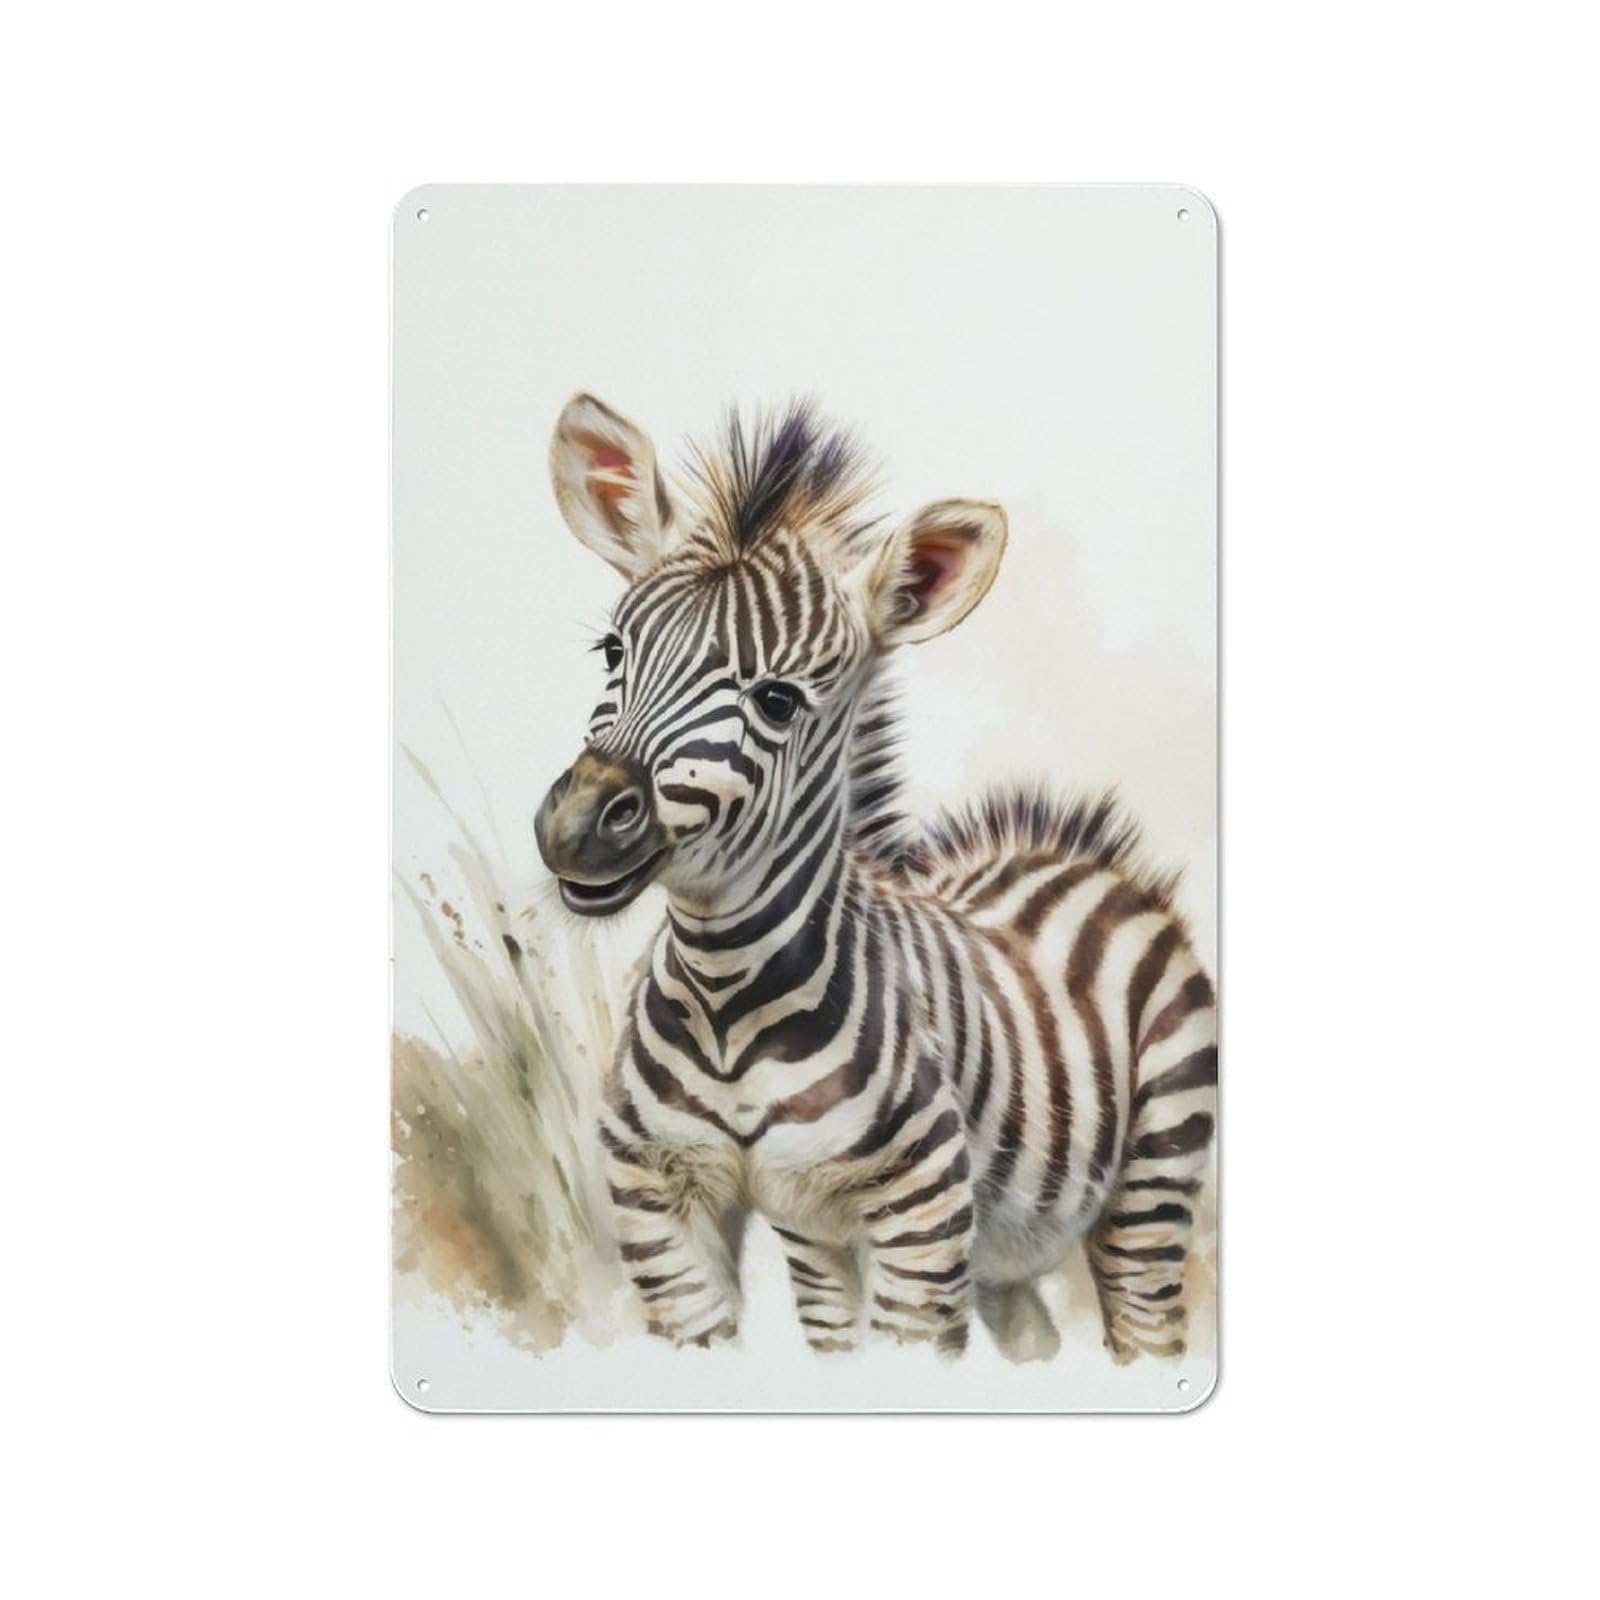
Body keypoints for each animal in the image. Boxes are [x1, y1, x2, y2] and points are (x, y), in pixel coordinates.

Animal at [534, 393, 1216, 1363]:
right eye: (612, 653)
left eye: (777, 700)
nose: (579, 827)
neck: (723, 1001)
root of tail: (1078, 857)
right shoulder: (670, 1205)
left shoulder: (922, 1214)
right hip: (971, 1252)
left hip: (1150, 1187)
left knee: (1147, 1322)